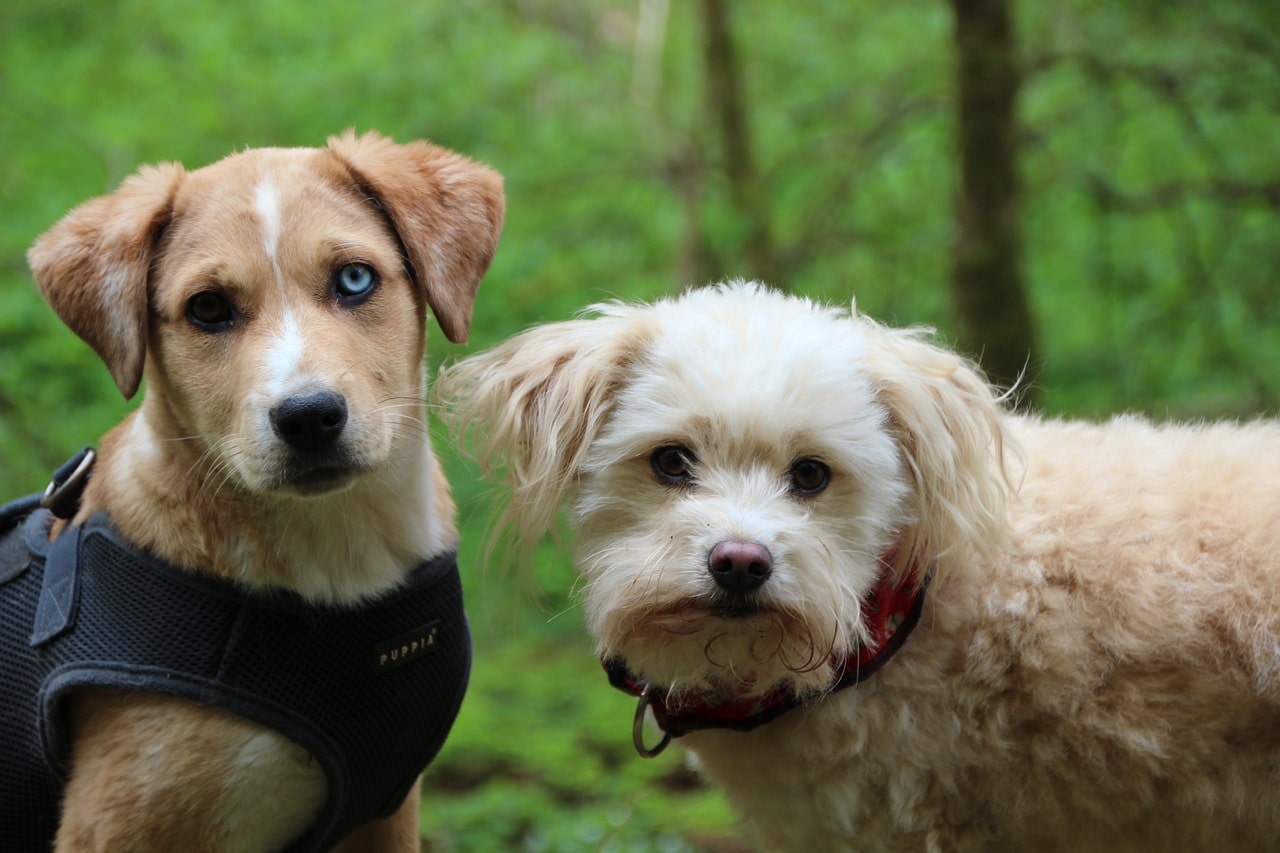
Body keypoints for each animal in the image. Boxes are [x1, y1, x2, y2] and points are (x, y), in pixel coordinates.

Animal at [16, 129, 504, 845]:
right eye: (208, 308)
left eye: (354, 279)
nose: (309, 417)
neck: (337, 552)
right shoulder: (113, 829)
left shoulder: (385, 814)